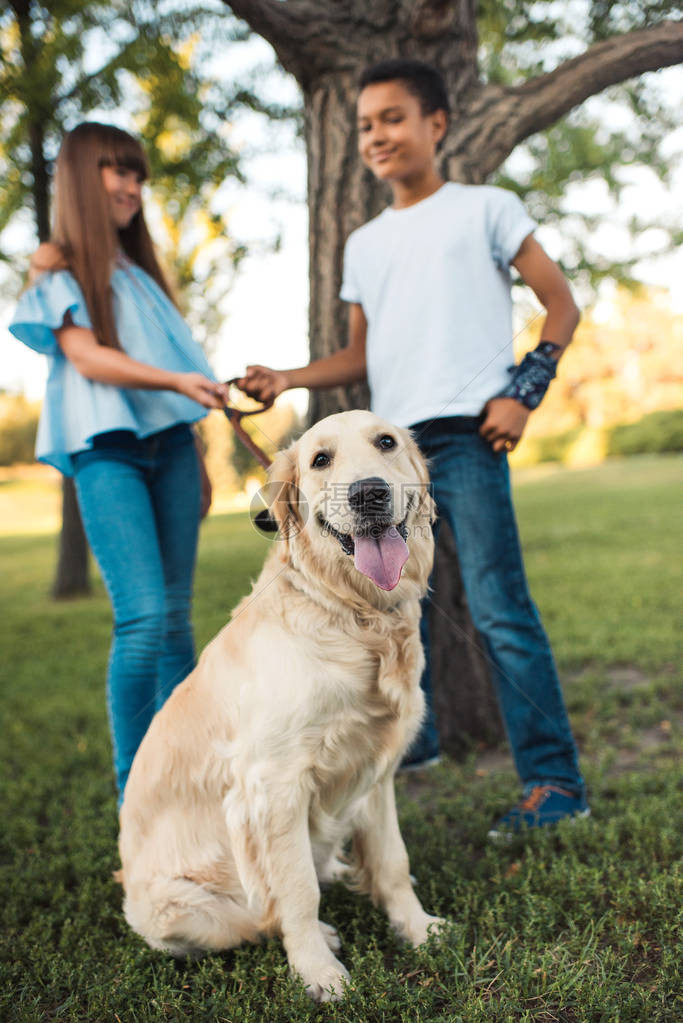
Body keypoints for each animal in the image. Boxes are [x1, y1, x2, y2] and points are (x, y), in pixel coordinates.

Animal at [117, 407, 443, 998]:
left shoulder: (376, 769)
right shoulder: (273, 784)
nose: (368, 493)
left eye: (386, 443)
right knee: (254, 917)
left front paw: (417, 928)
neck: (352, 614)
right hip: (183, 910)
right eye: (320, 459)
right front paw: (318, 970)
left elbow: (392, 860)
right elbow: (295, 890)